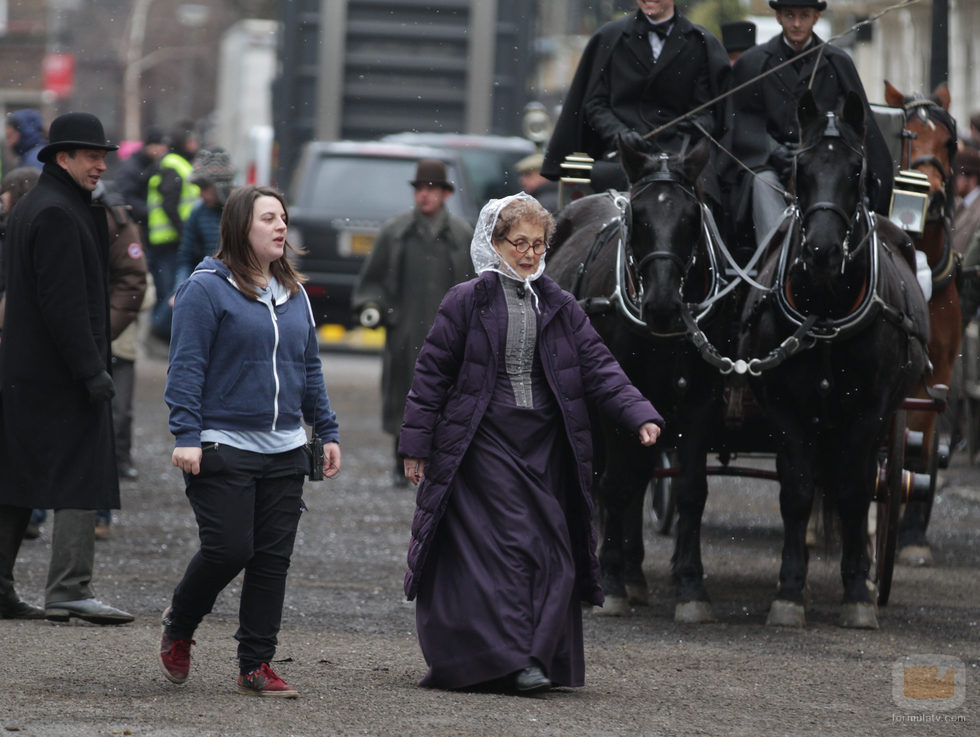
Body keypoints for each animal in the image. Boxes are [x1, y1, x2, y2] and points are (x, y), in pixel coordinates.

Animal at [544, 135, 736, 620]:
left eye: (692, 217)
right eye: (639, 216)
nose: (664, 305)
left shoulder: (701, 401)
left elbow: (690, 489)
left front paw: (691, 585)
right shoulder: (614, 397)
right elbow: (614, 486)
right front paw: (610, 582)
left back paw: (634, 572)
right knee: (608, 479)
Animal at [744, 90, 928, 628]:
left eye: (856, 168)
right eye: (800, 167)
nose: (822, 251)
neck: (824, 311)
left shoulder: (867, 412)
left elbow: (854, 491)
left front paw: (858, 592)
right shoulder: (787, 409)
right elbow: (797, 491)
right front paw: (789, 591)